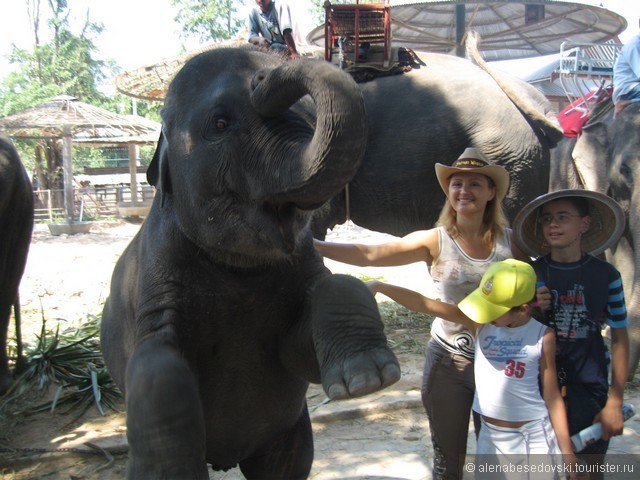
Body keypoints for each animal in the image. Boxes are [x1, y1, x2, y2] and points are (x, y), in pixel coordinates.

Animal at [100, 47, 400, 478]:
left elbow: (303, 345)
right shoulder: (157, 274)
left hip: (288, 434)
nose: (261, 77)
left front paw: (367, 381)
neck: (237, 272)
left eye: (309, 119)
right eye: (220, 123)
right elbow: (157, 364)